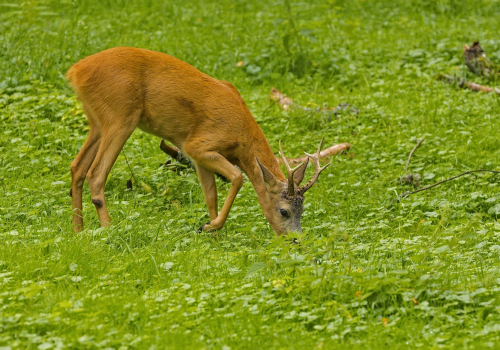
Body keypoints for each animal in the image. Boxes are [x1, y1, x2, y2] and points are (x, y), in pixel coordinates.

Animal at [68, 46, 330, 235]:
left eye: (302, 210)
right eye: (284, 211)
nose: (296, 240)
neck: (241, 138)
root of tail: (75, 71)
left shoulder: (198, 158)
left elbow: (210, 195)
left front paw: (213, 234)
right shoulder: (197, 146)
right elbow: (237, 177)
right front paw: (210, 226)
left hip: (97, 122)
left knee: (77, 167)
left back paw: (78, 231)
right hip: (120, 116)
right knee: (96, 173)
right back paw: (108, 230)